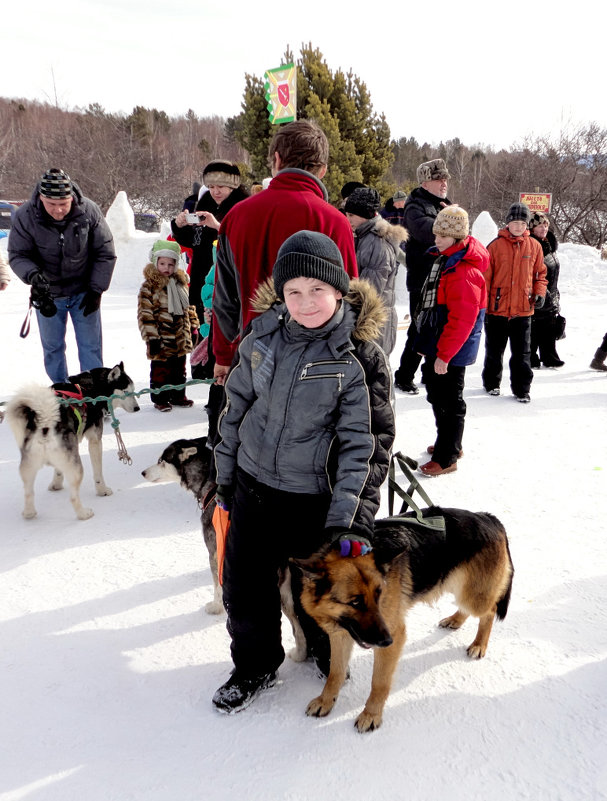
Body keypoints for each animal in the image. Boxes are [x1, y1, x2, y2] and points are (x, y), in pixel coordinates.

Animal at [5, 362, 140, 520]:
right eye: (126, 391)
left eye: (133, 390)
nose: (137, 408)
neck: (91, 387)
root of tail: (45, 424)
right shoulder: (95, 440)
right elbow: (98, 473)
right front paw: (102, 490)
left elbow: (58, 471)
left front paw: (56, 485)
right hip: (77, 469)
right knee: (73, 497)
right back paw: (84, 513)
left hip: (28, 468)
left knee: (28, 493)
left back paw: (29, 513)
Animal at [294, 510, 512, 736]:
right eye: (355, 602)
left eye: (379, 594)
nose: (386, 640)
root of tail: (489, 518)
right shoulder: (340, 635)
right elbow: (335, 673)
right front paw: (325, 700)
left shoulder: (393, 637)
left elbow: (379, 682)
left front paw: (371, 715)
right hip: (456, 585)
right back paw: (455, 620)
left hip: (473, 596)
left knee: (490, 611)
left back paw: (479, 644)